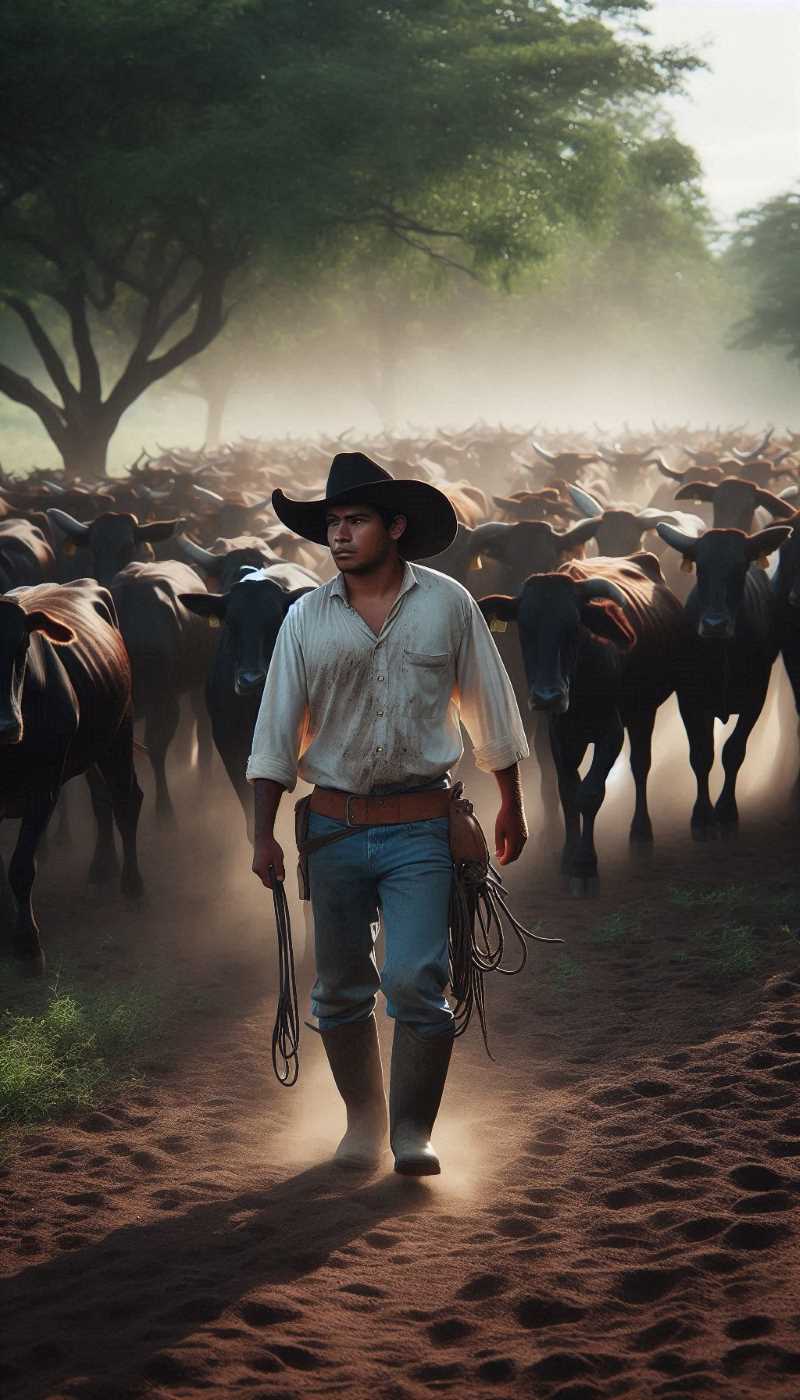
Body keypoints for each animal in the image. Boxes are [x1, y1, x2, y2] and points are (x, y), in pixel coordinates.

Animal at [0, 579, 142, 974]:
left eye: (22, 646)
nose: (7, 725)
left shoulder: (43, 789)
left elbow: (21, 867)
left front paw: (27, 944)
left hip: (119, 732)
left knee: (127, 800)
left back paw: (132, 885)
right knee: (102, 800)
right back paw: (101, 866)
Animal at [479, 554, 686, 890]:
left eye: (573, 627)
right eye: (525, 629)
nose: (547, 696)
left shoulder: (611, 734)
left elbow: (589, 794)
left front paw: (584, 866)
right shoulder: (560, 736)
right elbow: (567, 793)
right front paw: (567, 858)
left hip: (643, 712)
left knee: (641, 766)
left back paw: (641, 834)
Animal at [652, 523, 790, 828]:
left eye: (740, 567)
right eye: (701, 568)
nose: (715, 624)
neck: (721, 652)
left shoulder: (756, 698)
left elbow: (733, 751)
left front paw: (726, 810)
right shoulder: (689, 700)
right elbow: (702, 754)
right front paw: (703, 816)